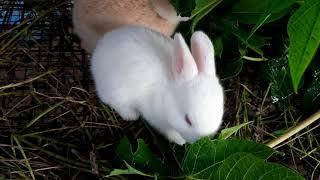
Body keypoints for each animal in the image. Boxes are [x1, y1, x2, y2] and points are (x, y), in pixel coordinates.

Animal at [90, 26, 225, 145]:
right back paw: (131, 115)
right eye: (187, 120)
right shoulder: (157, 120)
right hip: (115, 90)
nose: (202, 142)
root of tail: (98, 51)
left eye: (220, 113)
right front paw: (179, 140)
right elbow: (168, 131)